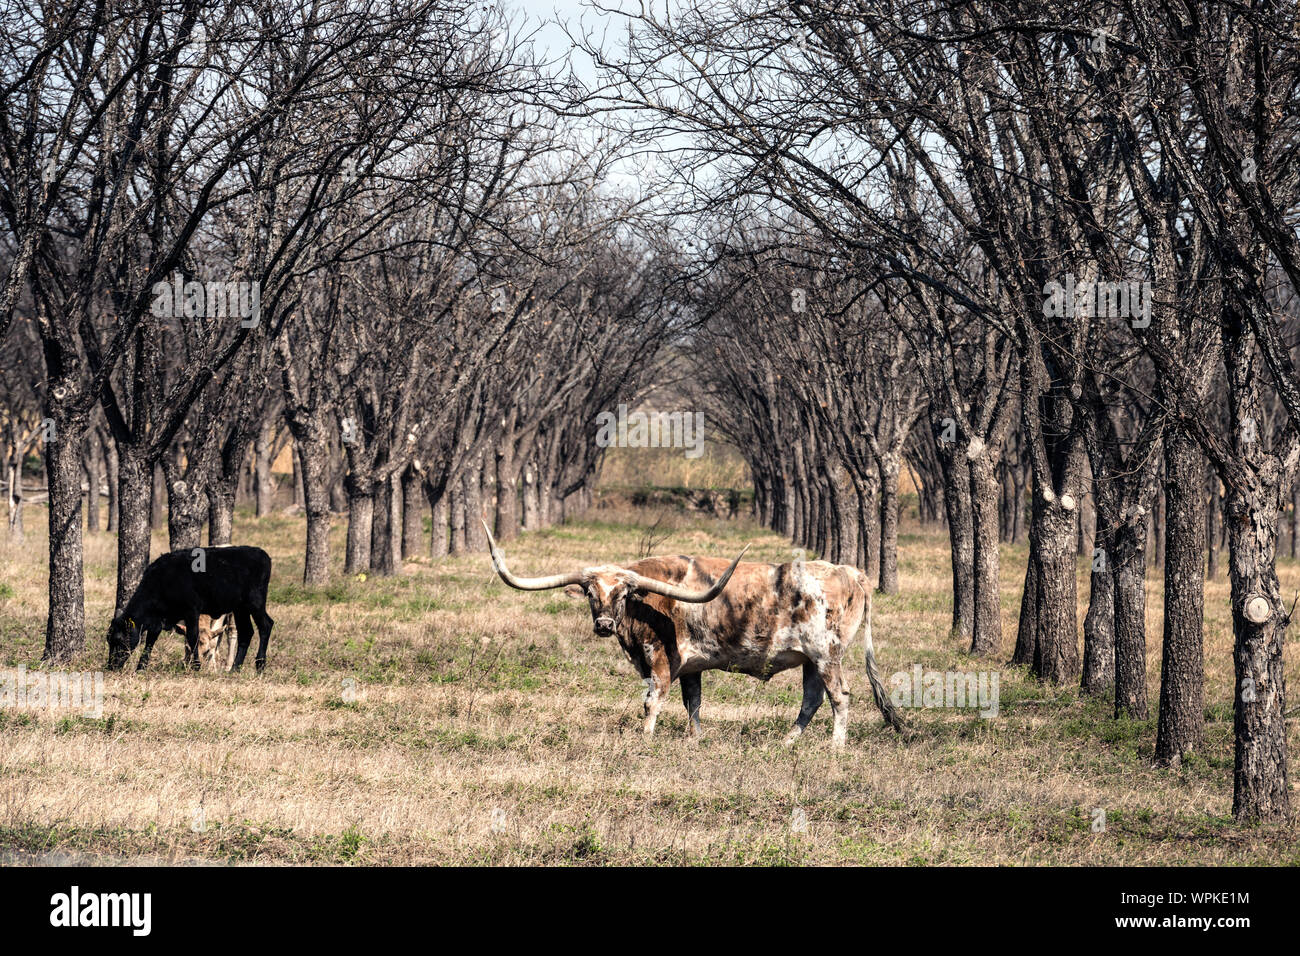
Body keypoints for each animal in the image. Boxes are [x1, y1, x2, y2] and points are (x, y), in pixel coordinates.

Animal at [107, 546, 276, 671]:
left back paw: (260, 664)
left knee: (266, 625)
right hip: (240, 608)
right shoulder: (159, 620)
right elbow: (150, 641)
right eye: (109, 640)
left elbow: (193, 636)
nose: (111, 666)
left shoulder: (192, 611)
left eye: (120, 639)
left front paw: (196, 666)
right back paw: (235, 668)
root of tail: (261, 553)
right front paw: (141, 667)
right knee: (246, 632)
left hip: (255, 603)